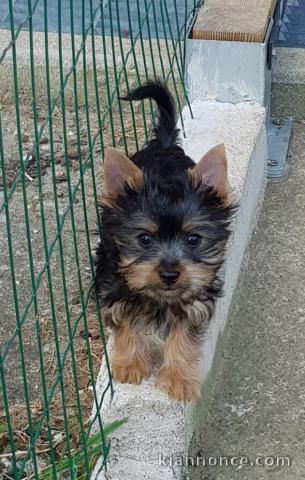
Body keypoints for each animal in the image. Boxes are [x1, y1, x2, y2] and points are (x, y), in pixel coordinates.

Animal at [94, 80, 234, 400]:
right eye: (144, 239)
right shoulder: (114, 281)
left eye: (193, 239)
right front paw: (130, 364)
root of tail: (165, 145)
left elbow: (184, 332)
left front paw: (178, 378)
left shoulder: (196, 295)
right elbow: (124, 319)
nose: (170, 274)